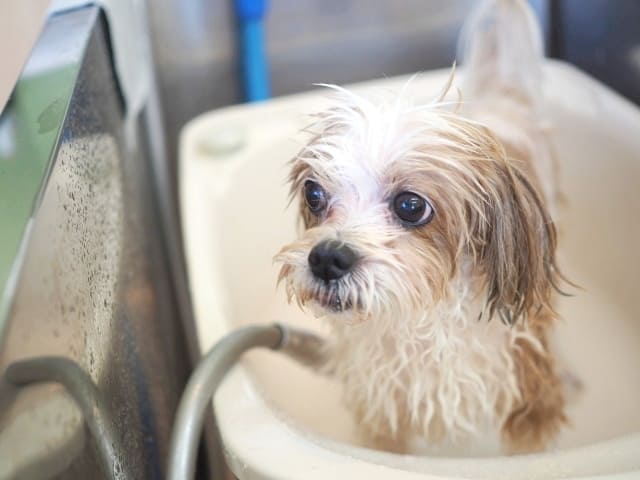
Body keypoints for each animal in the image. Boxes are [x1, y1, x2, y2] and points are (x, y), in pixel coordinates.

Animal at [275, 0, 568, 455]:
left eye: (411, 206)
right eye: (314, 193)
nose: (326, 258)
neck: (418, 324)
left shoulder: (528, 395)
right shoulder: (381, 410)